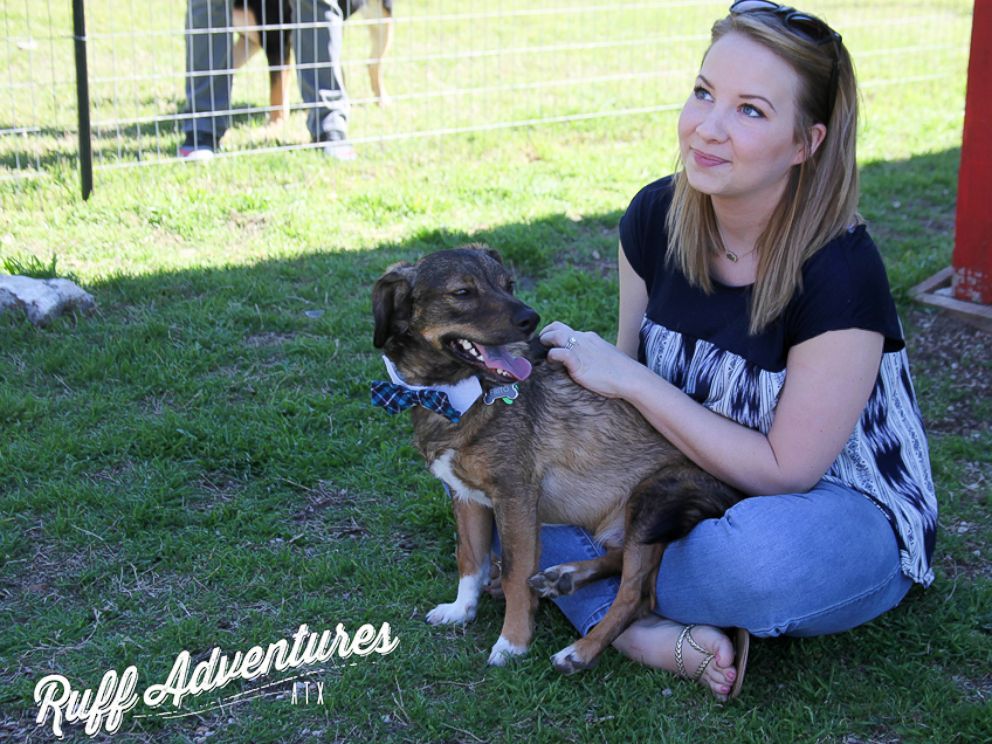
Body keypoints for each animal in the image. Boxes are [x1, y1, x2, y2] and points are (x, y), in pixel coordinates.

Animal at [372, 246, 744, 676]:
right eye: (462, 292)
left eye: (509, 284)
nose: (530, 319)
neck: (452, 395)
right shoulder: (465, 496)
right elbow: (470, 558)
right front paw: (461, 609)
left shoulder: (515, 497)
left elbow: (514, 572)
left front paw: (512, 642)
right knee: (618, 560)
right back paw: (565, 575)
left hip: (653, 498)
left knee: (637, 595)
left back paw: (580, 650)